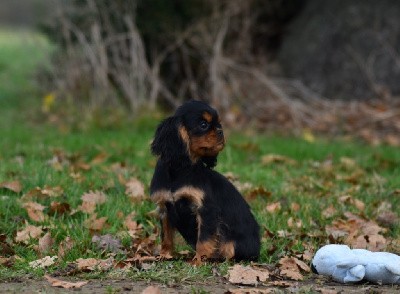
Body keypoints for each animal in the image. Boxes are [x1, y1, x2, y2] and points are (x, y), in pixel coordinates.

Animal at [149, 100, 260, 262]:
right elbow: (166, 237)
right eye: (203, 124)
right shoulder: (165, 208)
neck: (181, 168)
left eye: (219, 124)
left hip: (232, 244)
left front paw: (198, 261)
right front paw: (165, 255)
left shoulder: (206, 210)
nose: (221, 131)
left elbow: (204, 239)